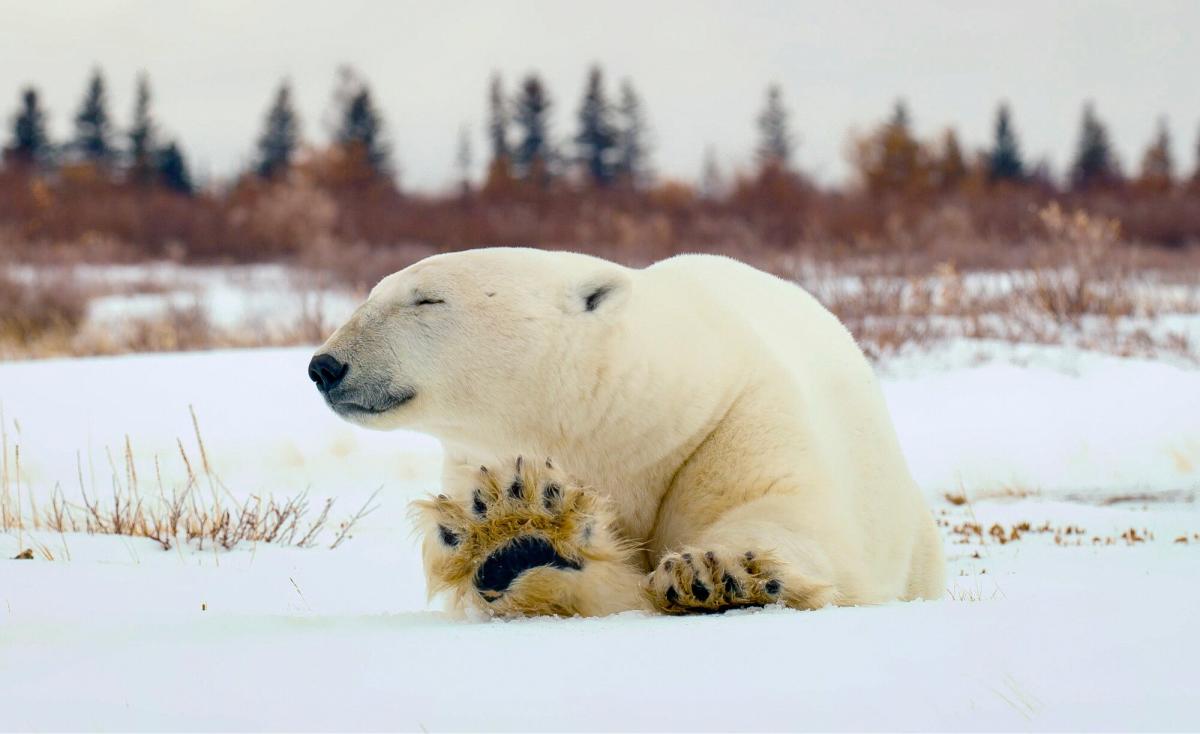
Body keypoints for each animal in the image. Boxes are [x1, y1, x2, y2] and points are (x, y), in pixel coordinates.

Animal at [309, 249, 945, 614]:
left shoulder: (731, 414)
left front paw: (714, 574)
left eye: (425, 300)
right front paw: (515, 533)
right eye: (370, 295)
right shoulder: (477, 462)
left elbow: (787, 510)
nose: (324, 365)